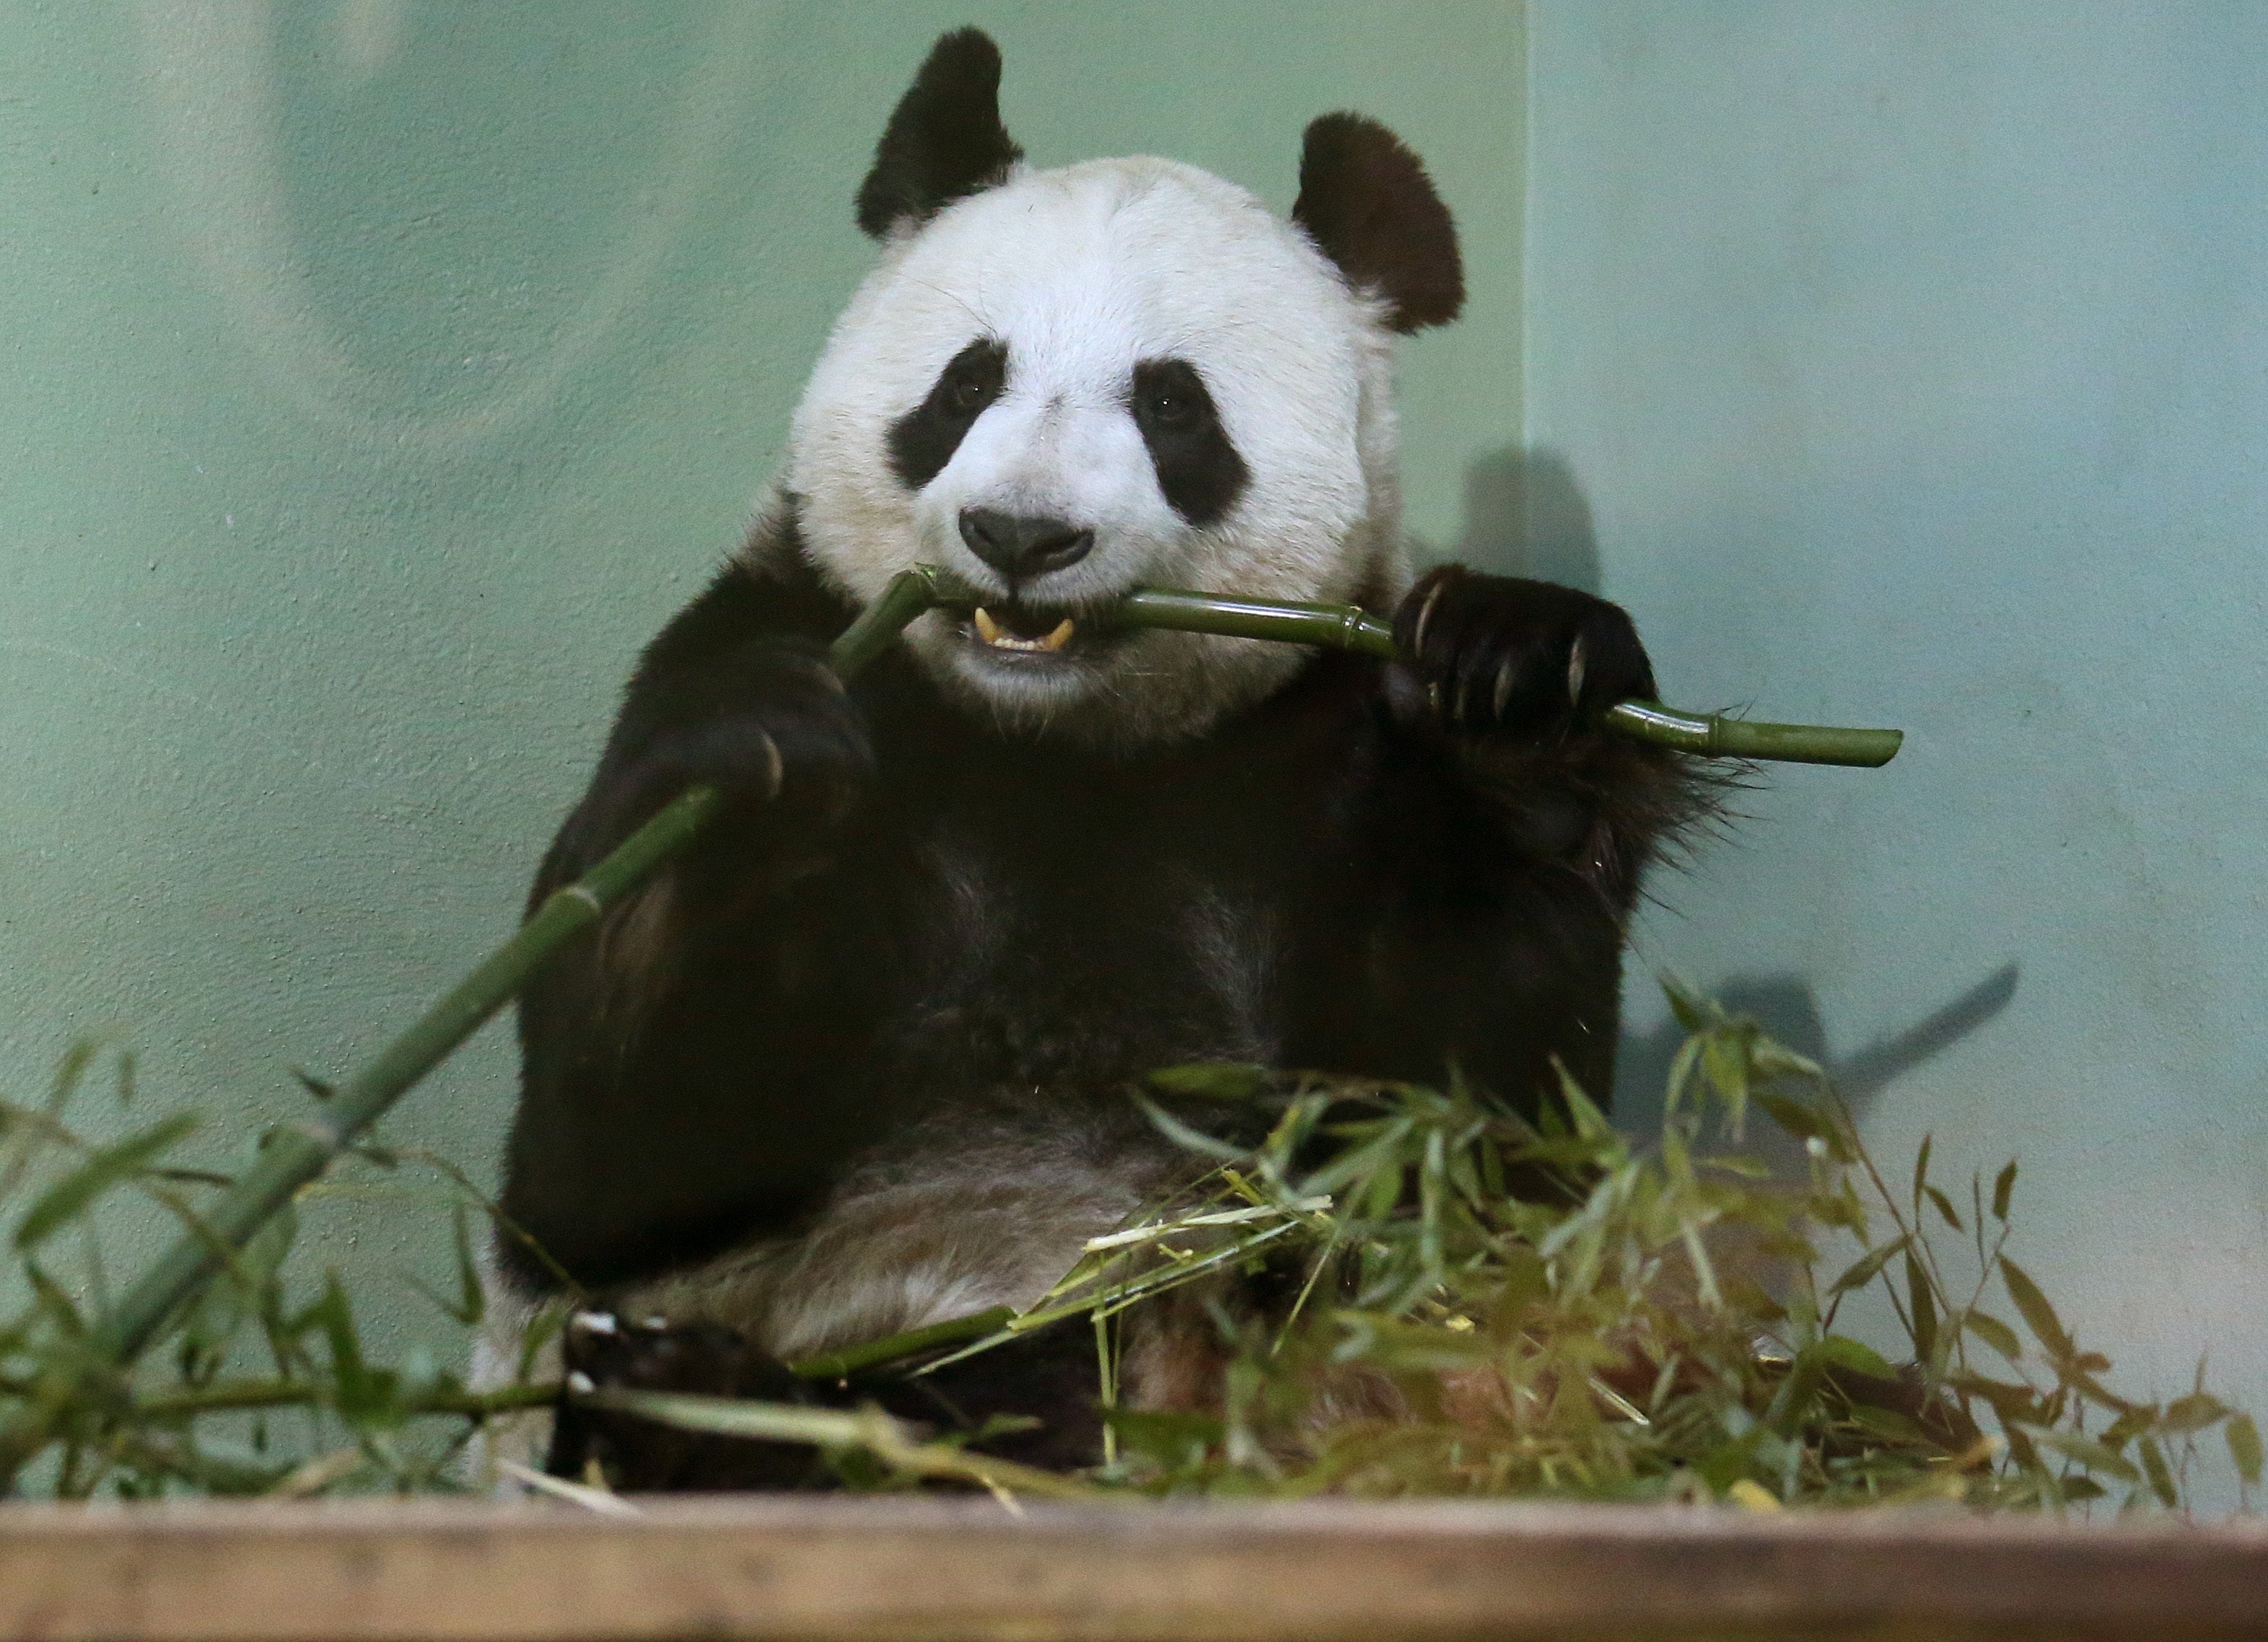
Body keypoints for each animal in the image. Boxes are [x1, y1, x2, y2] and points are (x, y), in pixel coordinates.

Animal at [492, 25, 1705, 1488]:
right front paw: (755, 776)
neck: (1061, 747)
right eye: (966, 382)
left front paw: (1515, 694)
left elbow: (1481, 1141)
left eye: (1172, 405)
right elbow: (603, 1176)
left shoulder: (1309, 764)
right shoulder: (784, 634)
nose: (1021, 536)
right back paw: (695, 1417)